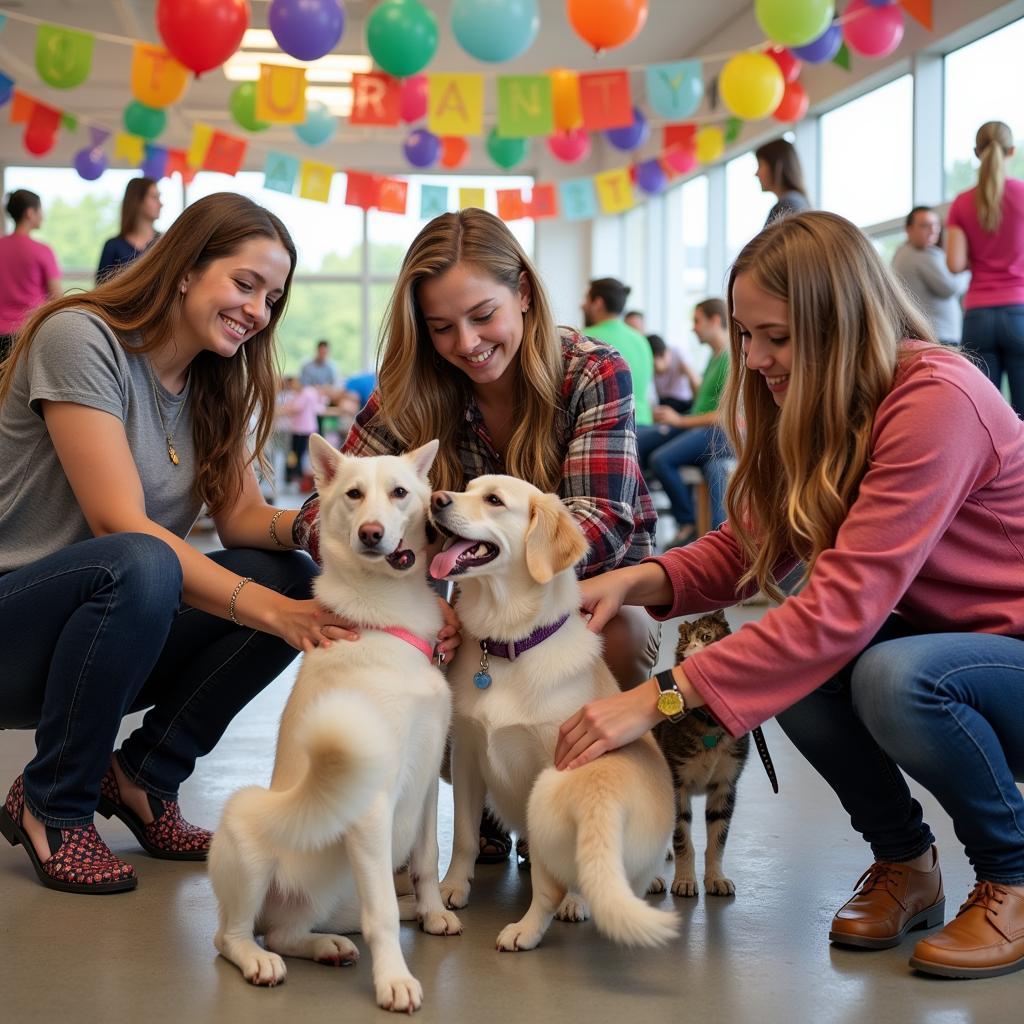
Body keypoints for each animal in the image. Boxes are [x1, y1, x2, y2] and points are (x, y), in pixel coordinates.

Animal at [207, 436, 460, 1011]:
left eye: (400, 493)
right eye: (353, 494)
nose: (371, 533)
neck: (385, 622)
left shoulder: (427, 781)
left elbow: (427, 857)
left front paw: (433, 911)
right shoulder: (370, 806)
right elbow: (382, 913)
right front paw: (394, 980)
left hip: (329, 900)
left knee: (291, 931)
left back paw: (326, 945)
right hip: (249, 838)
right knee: (232, 936)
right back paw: (258, 961)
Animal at [428, 475, 675, 946]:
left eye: (494, 500)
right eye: (467, 487)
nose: (435, 499)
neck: (507, 644)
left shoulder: (550, 763)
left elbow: (546, 872)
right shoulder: (466, 754)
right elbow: (464, 836)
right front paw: (451, 888)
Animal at [651, 606, 749, 897]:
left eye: (706, 636)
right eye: (685, 643)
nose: (693, 649)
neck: (710, 724)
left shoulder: (725, 784)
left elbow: (718, 838)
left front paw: (716, 877)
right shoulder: (677, 784)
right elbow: (683, 836)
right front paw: (684, 880)